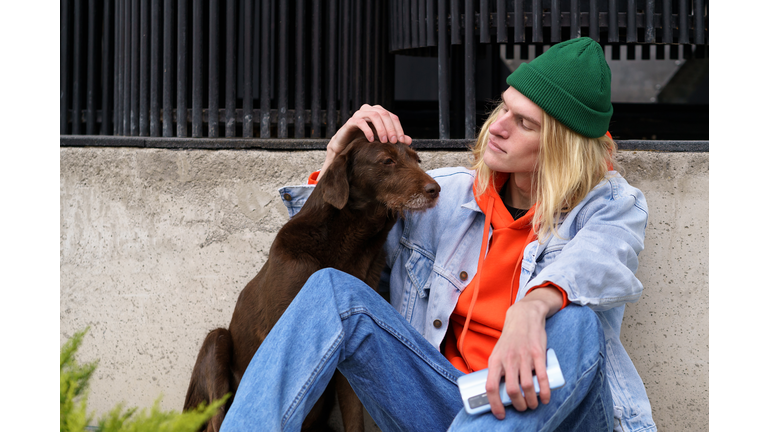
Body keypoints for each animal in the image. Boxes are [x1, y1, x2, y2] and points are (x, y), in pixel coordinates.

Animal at [182, 138, 440, 432]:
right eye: (387, 161)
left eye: (417, 160)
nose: (435, 189)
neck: (350, 242)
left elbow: (354, 416)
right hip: (216, 342)